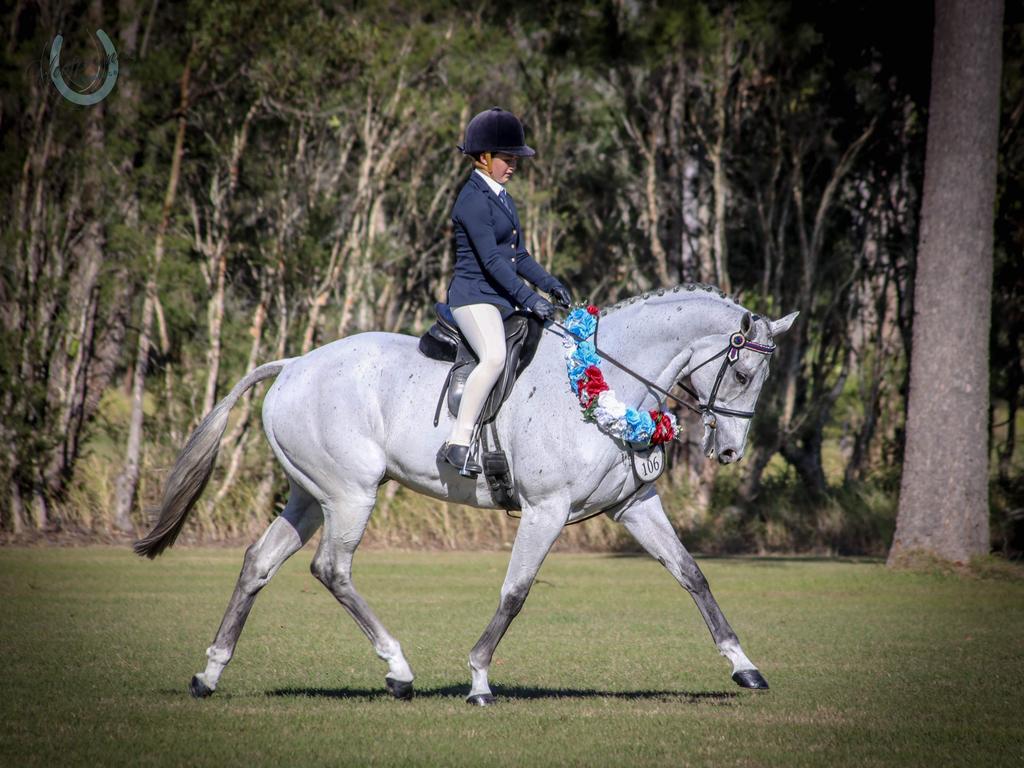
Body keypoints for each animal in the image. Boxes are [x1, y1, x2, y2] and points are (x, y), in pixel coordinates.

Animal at [132, 286, 794, 708]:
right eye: (740, 374)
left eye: (760, 378)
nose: (729, 451)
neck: (606, 382)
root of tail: (295, 364)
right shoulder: (547, 509)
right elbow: (516, 592)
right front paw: (478, 680)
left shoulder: (635, 505)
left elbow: (691, 575)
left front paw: (744, 667)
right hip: (350, 495)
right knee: (332, 568)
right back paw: (398, 671)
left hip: (307, 496)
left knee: (258, 563)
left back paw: (209, 673)